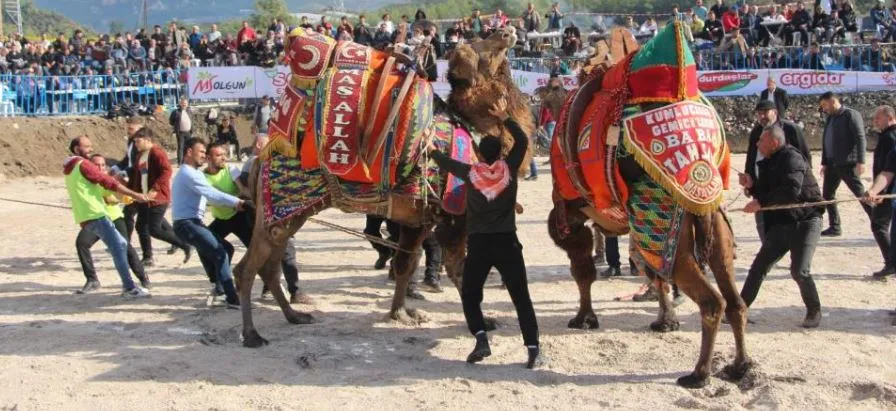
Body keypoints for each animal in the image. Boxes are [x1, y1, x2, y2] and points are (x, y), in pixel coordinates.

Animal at [231, 26, 536, 348]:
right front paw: (483, 322)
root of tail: (260, 158)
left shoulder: (419, 217)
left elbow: (405, 263)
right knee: (247, 269)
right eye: (481, 48)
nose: (506, 30)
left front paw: (402, 313)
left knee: (270, 266)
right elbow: (460, 270)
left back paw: (294, 315)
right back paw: (252, 334)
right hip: (279, 208)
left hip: (291, 215)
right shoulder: (455, 217)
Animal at [544, 21, 748, 390]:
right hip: (707, 218)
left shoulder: (570, 212)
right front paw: (665, 321)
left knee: (712, 301)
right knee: (734, 300)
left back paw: (698, 374)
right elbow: (650, 271)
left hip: (671, 220)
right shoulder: (638, 222)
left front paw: (584, 318)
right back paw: (739, 367)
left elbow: (583, 269)